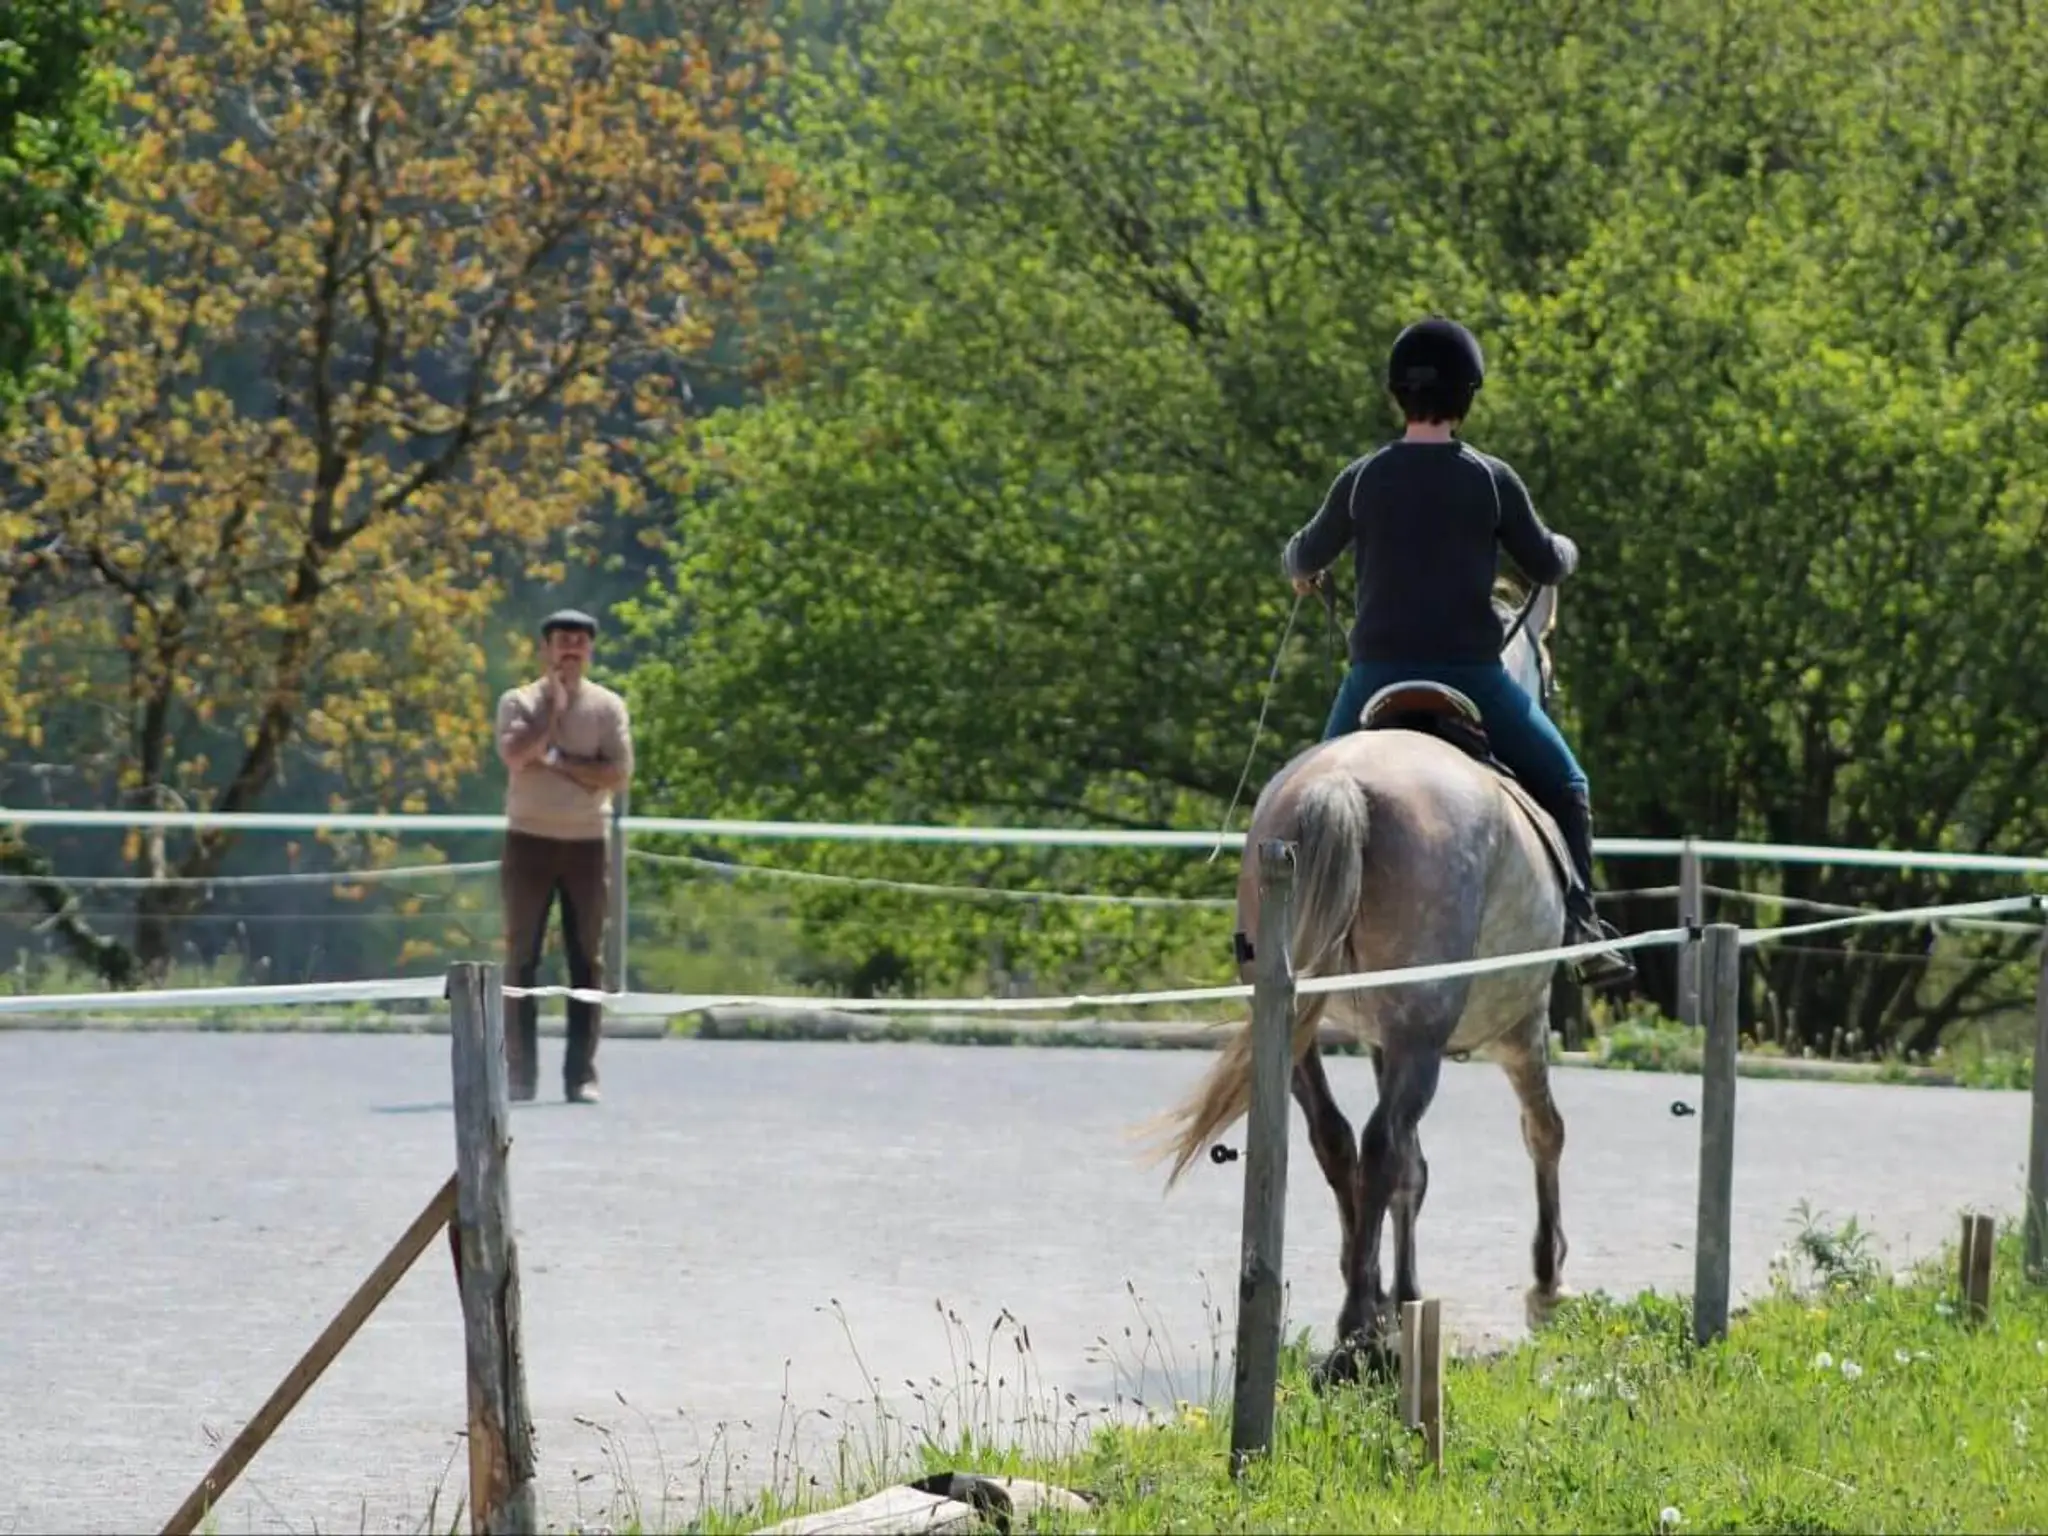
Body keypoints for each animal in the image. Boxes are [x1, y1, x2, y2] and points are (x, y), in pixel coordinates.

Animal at [1147, 581, 1574, 1384]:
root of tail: (1342, 785)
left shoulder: (1381, 1039)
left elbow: (1415, 1168)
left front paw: (1402, 1294)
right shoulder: (1521, 1023)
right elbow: (1542, 1132)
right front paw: (1545, 1284)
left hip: (1301, 1028)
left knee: (1340, 1141)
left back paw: (1364, 1305)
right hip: (1424, 1032)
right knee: (1379, 1146)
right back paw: (1357, 1328)